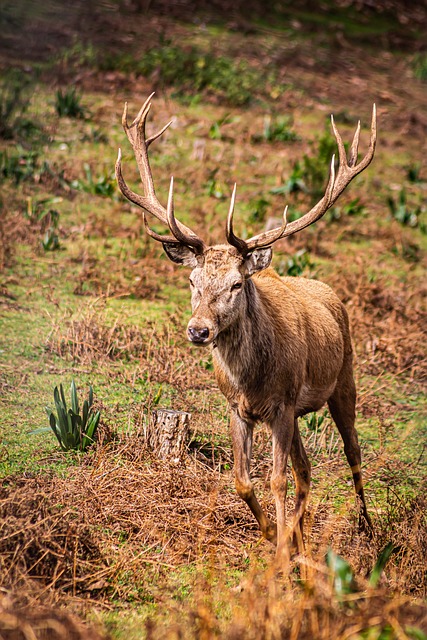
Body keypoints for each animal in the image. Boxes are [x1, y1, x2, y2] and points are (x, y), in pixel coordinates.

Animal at [115, 94, 377, 560]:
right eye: (192, 280)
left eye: (237, 283)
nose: (198, 330)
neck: (252, 380)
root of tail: (330, 292)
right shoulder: (239, 408)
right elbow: (242, 480)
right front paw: (275, 535)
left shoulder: (283, 404)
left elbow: (276, 479)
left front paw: (280, 553)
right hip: (300, 412)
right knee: (307, 469)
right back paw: (302, 541)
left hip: (344, 378)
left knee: (352, 452)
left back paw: (367, 529)